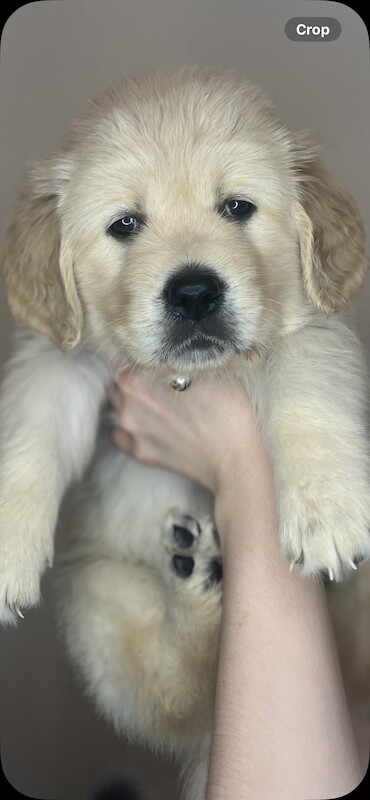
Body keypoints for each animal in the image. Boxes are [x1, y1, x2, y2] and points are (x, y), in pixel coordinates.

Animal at [0, 65, 370, 796]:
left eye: (237, 208)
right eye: (125, 224)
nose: (194, 293)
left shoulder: (310, 334)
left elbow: (307, 399)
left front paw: (327, 512)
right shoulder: (63, 362)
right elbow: (28, 440)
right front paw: (5, 547)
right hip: (94, 595)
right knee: (183, 696)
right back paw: (197, 582)